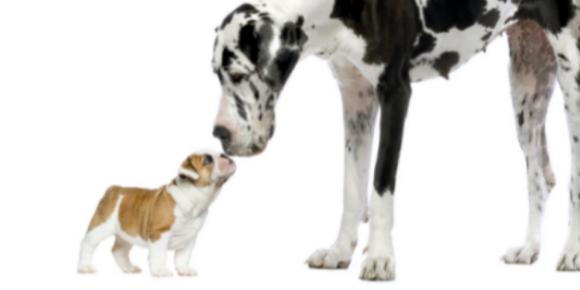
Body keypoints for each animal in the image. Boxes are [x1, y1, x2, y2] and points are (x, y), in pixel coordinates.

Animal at [77, 152, 236, 276]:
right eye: (208, 160)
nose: (225, 155)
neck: (193, 195)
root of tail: (114, 189)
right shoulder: (159, 234)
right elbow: (159, 255)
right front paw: (160, 271)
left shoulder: (190, 237)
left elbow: (183, 256)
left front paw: (184, 270)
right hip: (101, 226)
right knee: (87, 244)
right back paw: (85, 267)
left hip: (126, 233)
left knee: (119, 250)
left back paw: (129, 268)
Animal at [211, 0, 580, 280]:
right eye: (217, 74)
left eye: (240, 74)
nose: (219, 133)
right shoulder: (355, 98)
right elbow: (352, 187)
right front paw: (340, 250)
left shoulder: (395, 93)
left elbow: (380, 183)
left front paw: (379, 257)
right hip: (526, 87)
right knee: (538, 180)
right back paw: (529, 248)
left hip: (572, 81)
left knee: (573, 181)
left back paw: (572, 252)